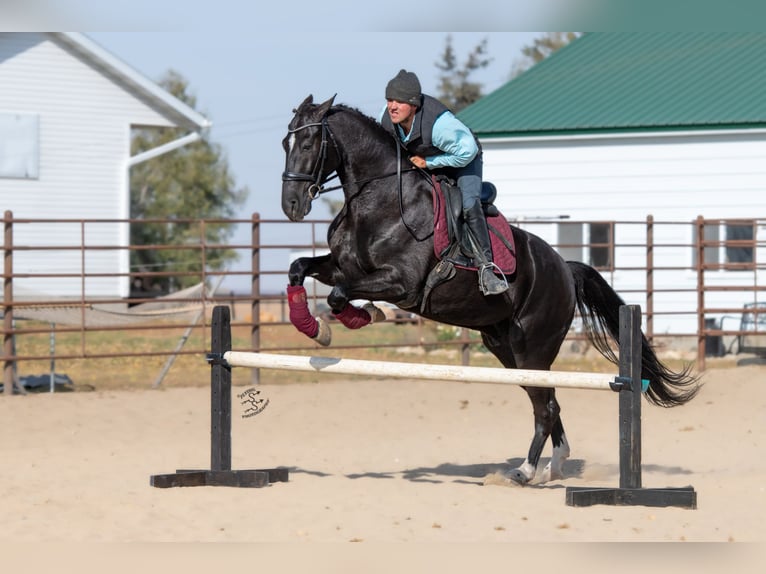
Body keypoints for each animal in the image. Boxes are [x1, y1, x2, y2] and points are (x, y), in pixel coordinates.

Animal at [280, 94, 699, 486]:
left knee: (545, 406)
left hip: (533, 345)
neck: (377, 199)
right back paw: (555, 465)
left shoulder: (402, 283)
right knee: (547, 399)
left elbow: (338, 295)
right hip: (505, 347)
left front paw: (358, 316)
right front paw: (317, 327)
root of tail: (565, 269)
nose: (292, 205)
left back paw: (526, 471)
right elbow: (300, 270)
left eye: (310, 142)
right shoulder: (344, 268)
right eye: (286, 143)